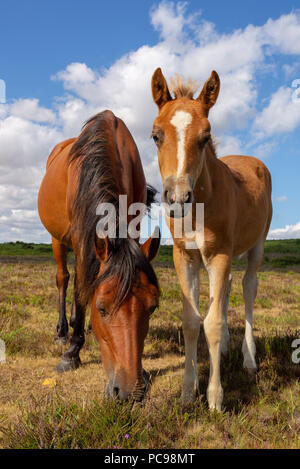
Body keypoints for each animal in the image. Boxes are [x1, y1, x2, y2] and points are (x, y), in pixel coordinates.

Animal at [38, 109, 161, 398]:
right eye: (102, 308)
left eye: (152, 308)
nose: (130, 392)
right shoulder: (79, 235)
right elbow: (80, 289)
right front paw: (72, 352)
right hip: (58, 239)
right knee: (64, 279)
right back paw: (63, 332)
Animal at [151, 67, 274, 408]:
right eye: (156, 135)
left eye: (205, 137)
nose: (177, 197)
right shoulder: (186, 257)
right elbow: (193, 321)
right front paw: (187, 390)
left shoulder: (219, 254)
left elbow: (214, 323)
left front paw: (215, 397)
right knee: (227, 289)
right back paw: (228, 348)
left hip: (257, 244)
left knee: (247, 288)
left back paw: (248, 358)